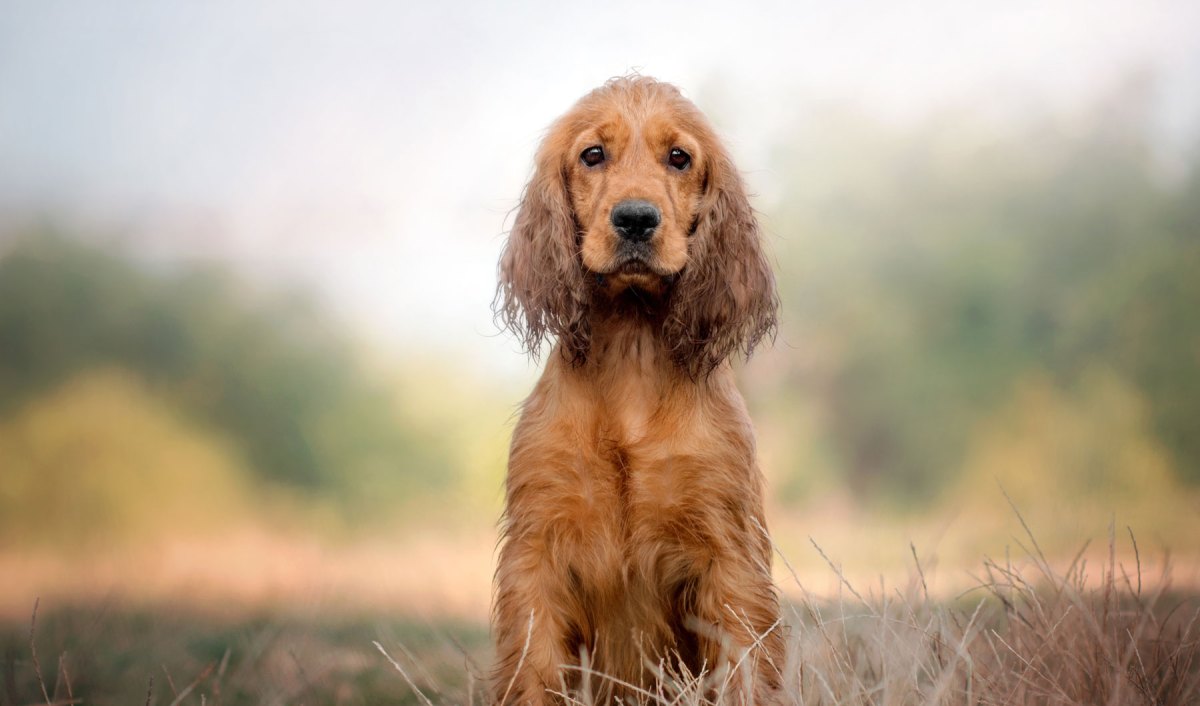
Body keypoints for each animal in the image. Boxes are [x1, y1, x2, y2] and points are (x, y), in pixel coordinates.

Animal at [492, 77, 782, 706]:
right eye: (592, 155)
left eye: (679, 157)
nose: (635, 220)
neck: (631, 347)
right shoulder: (537, 553)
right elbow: (532, 671)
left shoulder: (729, 557)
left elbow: (747, 667)